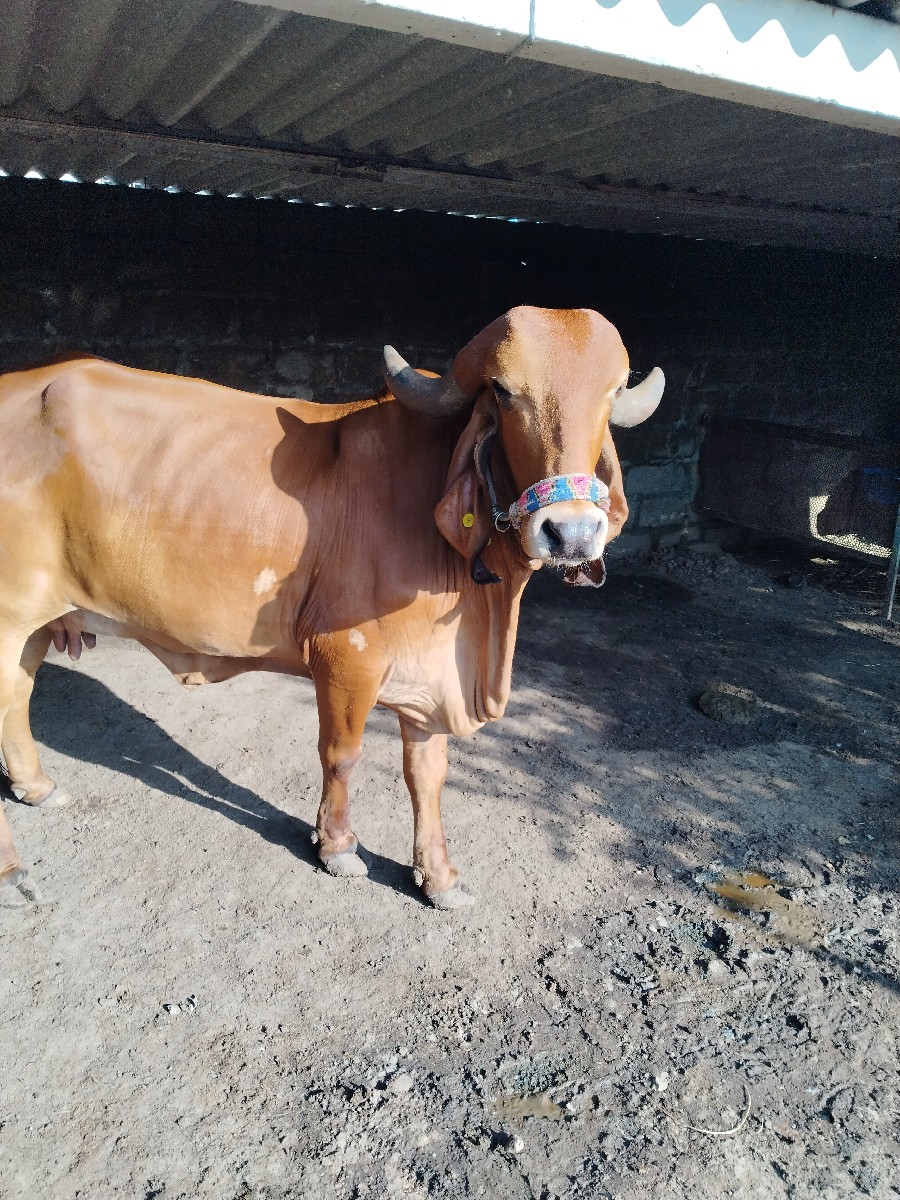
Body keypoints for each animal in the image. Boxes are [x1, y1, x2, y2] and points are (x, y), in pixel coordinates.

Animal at [0, 306, 663, 910]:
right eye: (503, 392)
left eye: (609, 396)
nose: (570, 533)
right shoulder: (347, 657)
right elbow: (342, 756)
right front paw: (337, 846)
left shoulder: (430, 674)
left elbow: (428, 773)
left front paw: (439, 877)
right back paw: (11, 870)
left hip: (35, 623)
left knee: (17, 697)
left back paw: (36, 786)